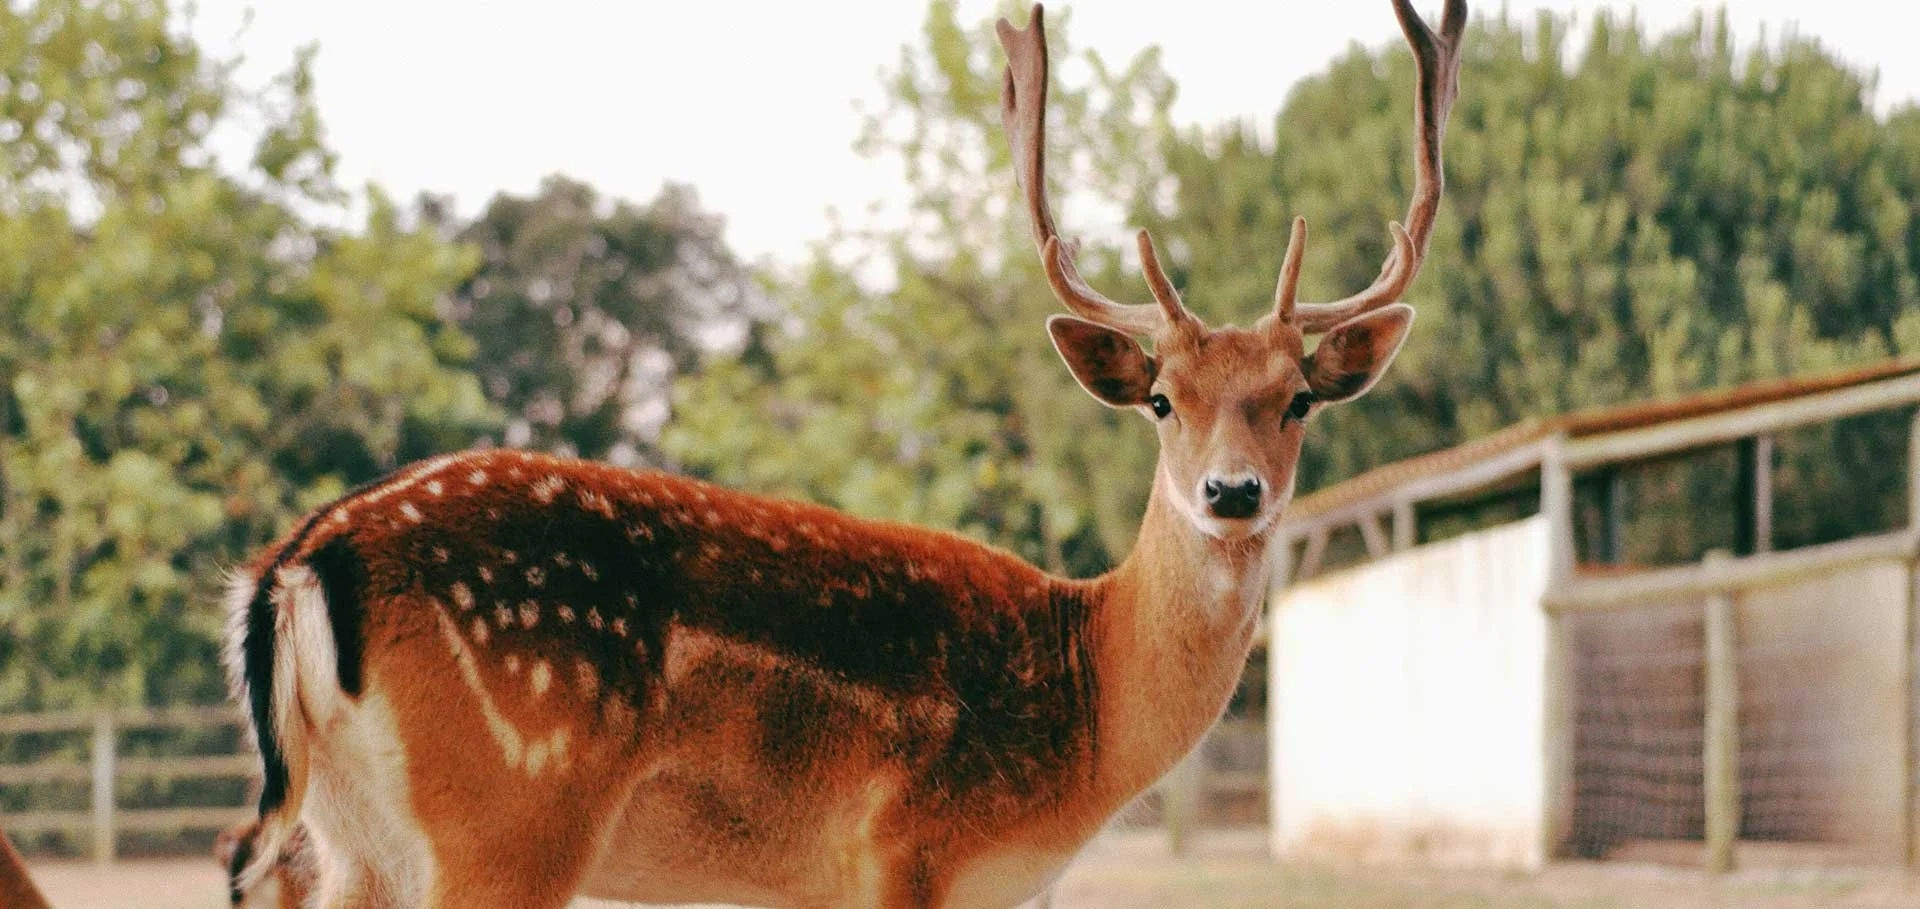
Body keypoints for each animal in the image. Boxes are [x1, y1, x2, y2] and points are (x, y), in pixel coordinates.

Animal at [221, 2, 1464, 906]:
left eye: (1297, 399)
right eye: (1162, 398)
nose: (1232, 491)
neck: (1089, 708)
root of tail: (302, 561)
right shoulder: (905, 855)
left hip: (350, 839)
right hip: (509, 814)